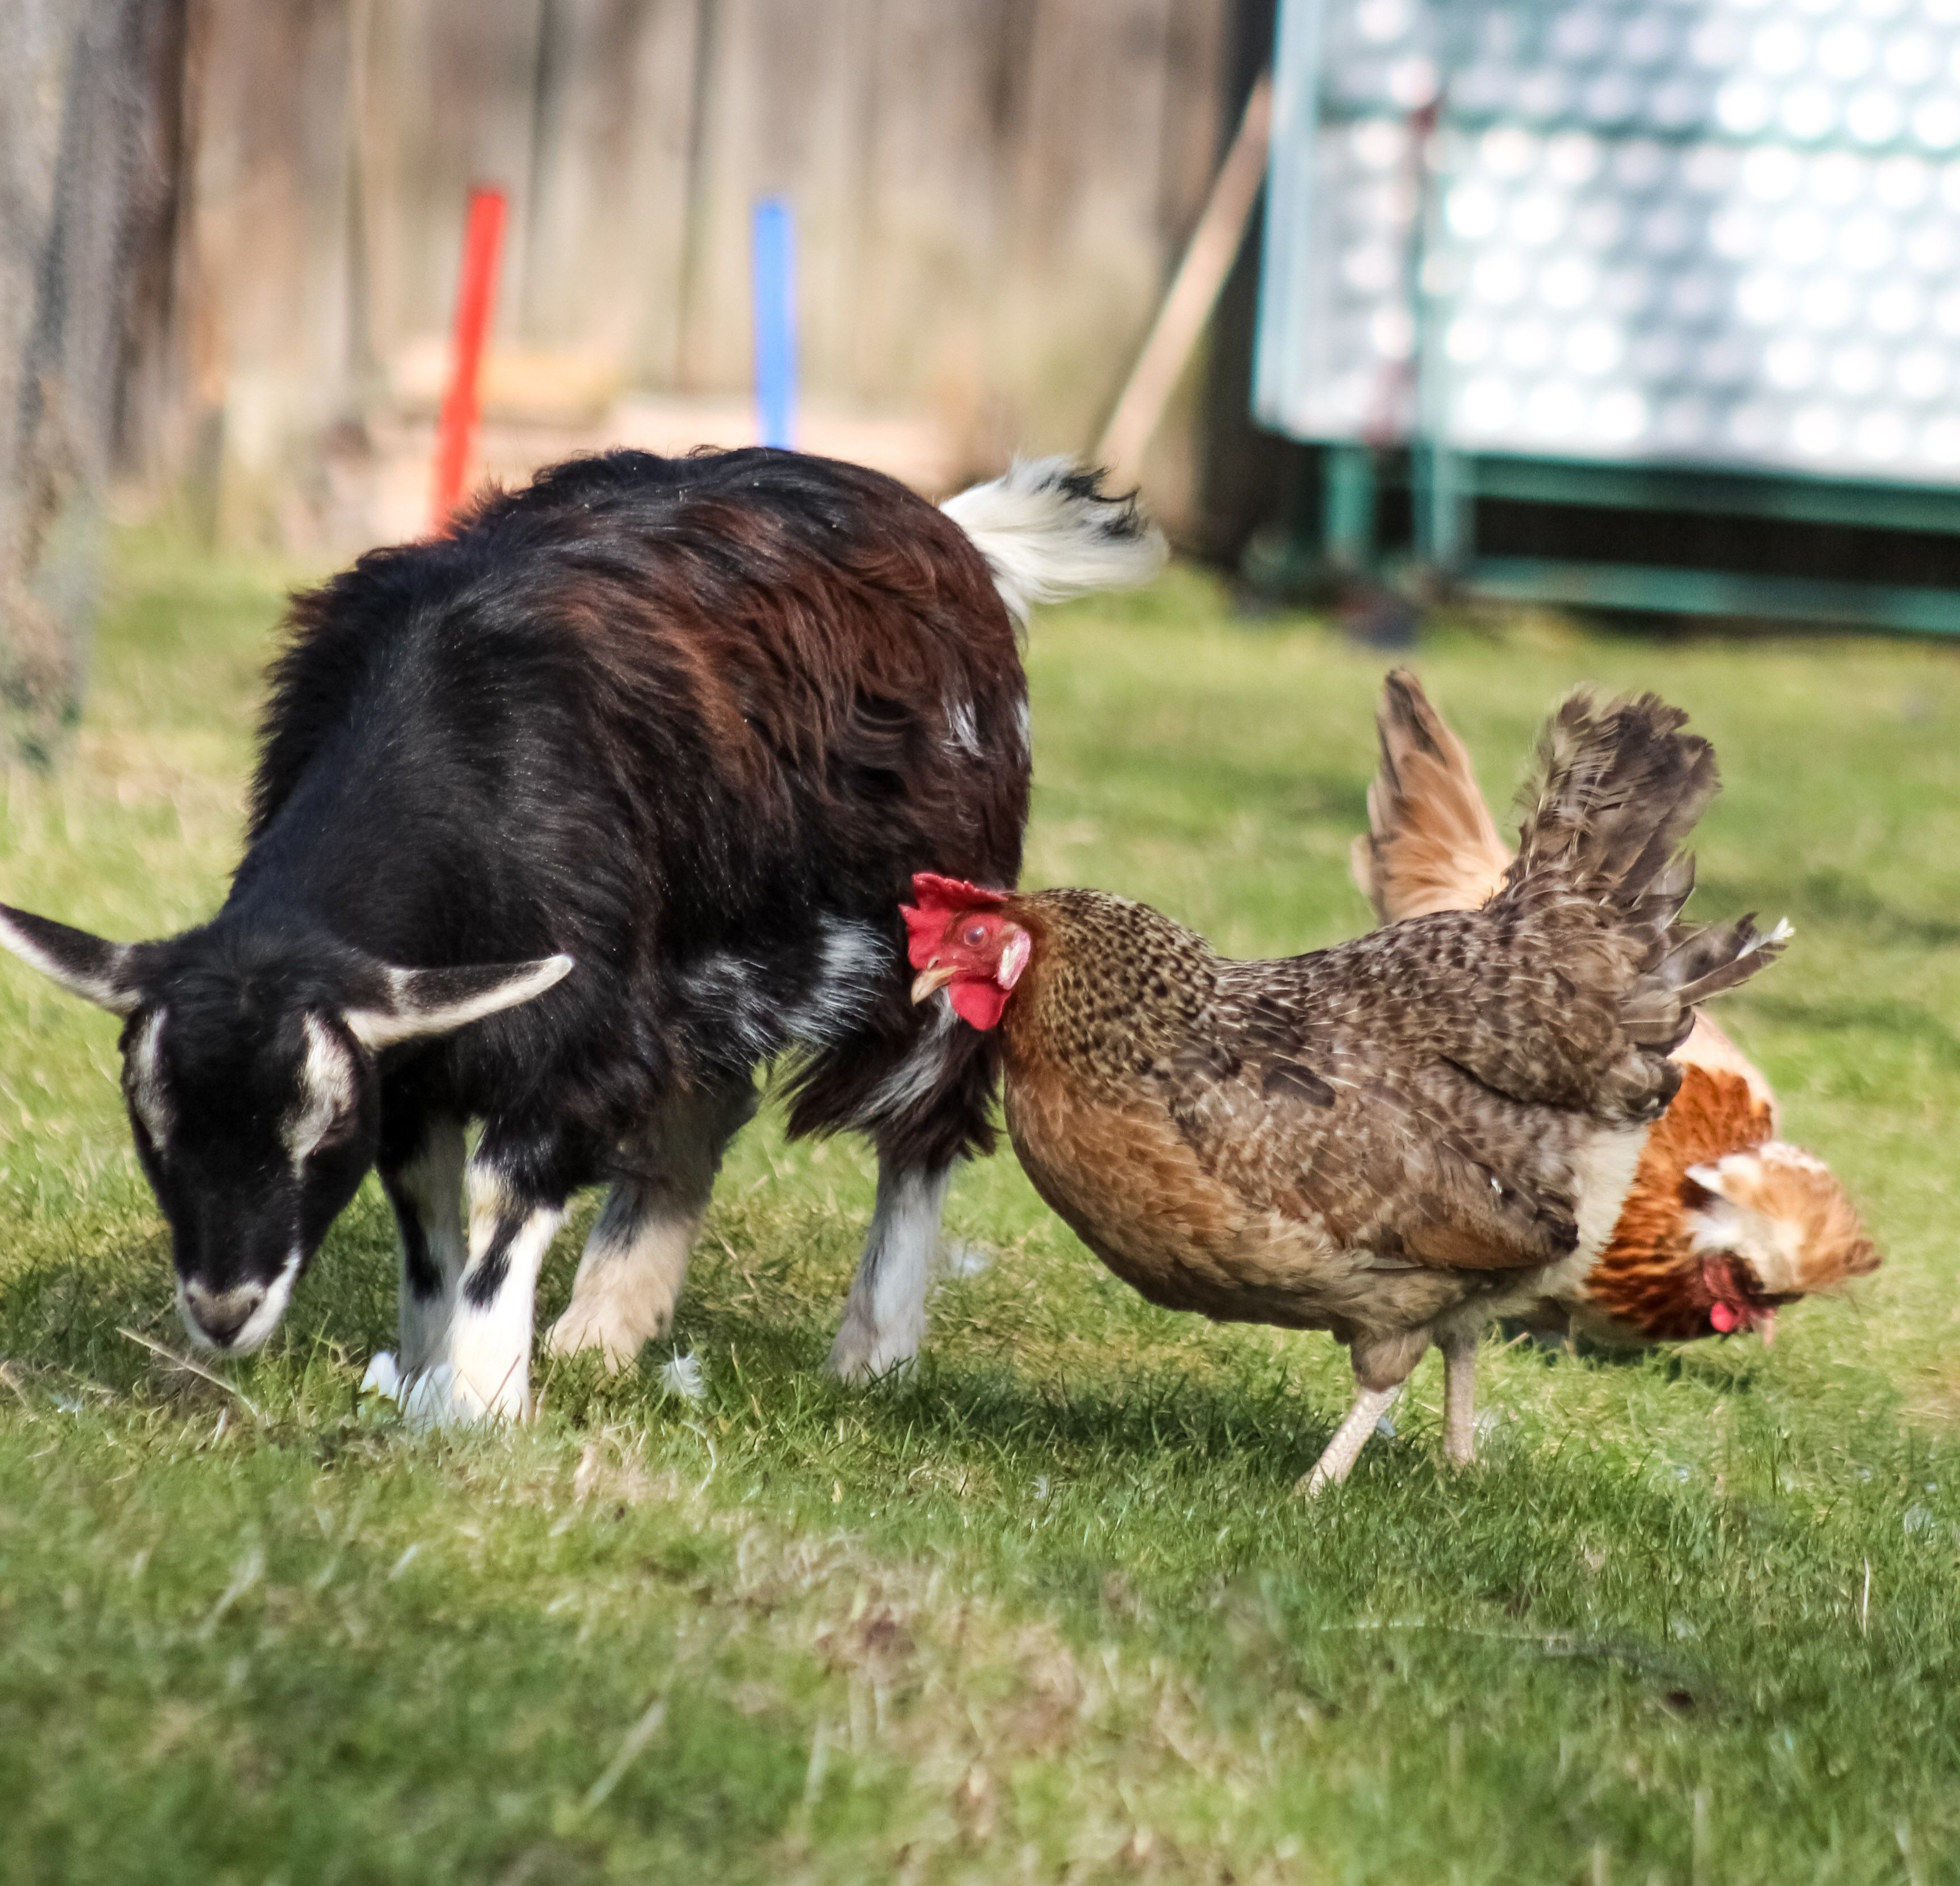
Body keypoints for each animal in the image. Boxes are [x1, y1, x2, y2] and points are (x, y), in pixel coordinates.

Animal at [0, 449, 1164, 1421]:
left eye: (317, 1135)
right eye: (153, 1130)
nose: (224, 1309)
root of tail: (952, 529)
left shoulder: (568, 1025)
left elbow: (500, 1195)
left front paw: (474, 1407)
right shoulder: (425, 1052)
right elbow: (428, 1212)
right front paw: (426, 1373)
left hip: (927, 927)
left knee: (923, 1113)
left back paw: (871, 1351)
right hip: (702, 956)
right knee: (702, 1103)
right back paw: (604, 1325)